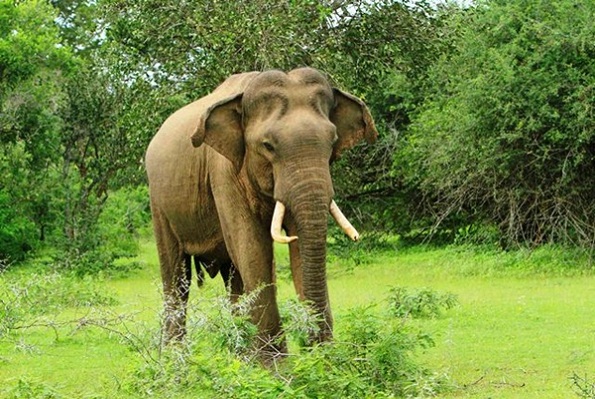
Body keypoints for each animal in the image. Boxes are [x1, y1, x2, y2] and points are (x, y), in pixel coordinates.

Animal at [145, 67, 378, 358]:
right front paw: (277, 366)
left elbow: (296, 247)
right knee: (177, 277)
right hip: (158, 202)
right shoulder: (223, 172)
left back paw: (241, 357)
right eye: (268, 145)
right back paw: (174, 362)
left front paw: (321, 362)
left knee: (234, 278)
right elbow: (252, 246)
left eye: (333, 141)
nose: (316, 347)